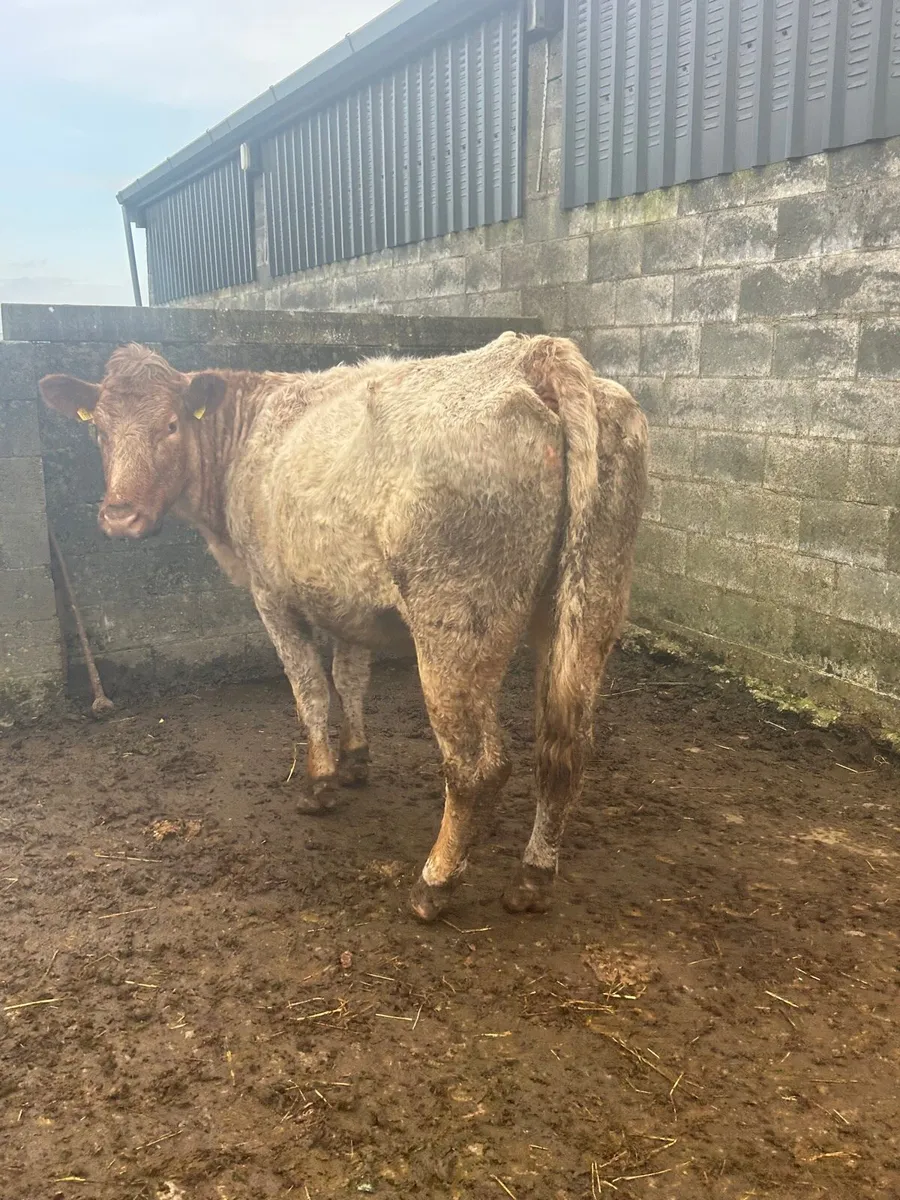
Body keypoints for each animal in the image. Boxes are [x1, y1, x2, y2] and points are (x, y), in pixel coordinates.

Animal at [40, 333, 648, 920]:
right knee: (563, 749)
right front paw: (356, 760)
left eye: (169, 425)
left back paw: (434, 884)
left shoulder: (271, 593)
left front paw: (320, 782)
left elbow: (310, 690)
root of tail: (533, 353)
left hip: (454, 622)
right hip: (589, 605)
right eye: (99, 430)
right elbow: (350, 677)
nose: (120, 516)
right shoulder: (343, 599)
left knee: (478, 766)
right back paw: (533, 878)